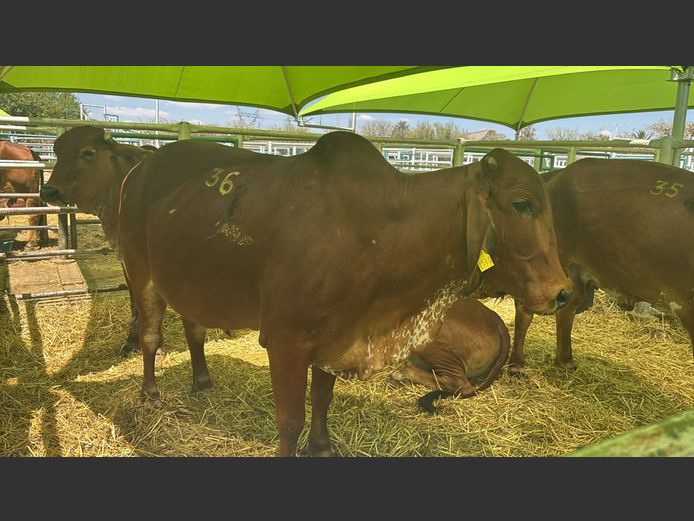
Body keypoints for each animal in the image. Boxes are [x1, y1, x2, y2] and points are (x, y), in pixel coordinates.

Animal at [42, 125, 571, 456]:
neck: (377, 229)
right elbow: (290, 419)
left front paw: (322, 446)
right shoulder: (286, 341)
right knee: (151, 337)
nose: (561, 292)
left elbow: (322, 399)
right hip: (142, 272)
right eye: (521, 204)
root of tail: (140, 170)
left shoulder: (335, 337)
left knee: (193, 332)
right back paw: (151, 394)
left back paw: (201, 380)